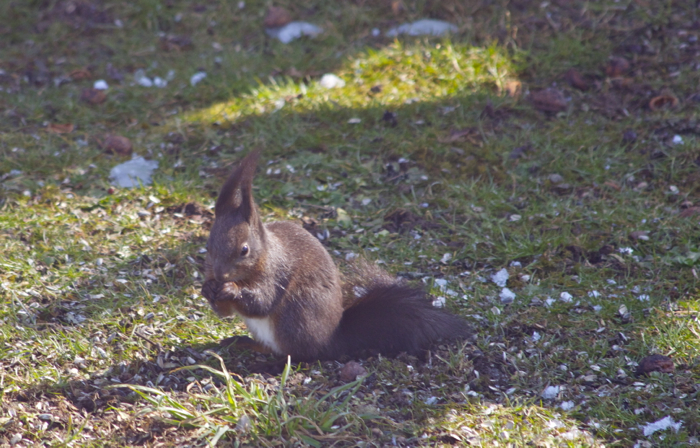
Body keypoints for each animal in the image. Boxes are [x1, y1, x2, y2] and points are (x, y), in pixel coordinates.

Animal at [201, 150, 470, 361]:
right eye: (209, 246)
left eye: (244, 250)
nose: (220, 275)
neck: (264, 254)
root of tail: (330, 340)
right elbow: (226, 312)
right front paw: (208, 288)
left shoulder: (276, 273)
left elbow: (261, 302)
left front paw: (230, 289)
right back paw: (243, 342)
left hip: (294, 318)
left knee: (296, 353)